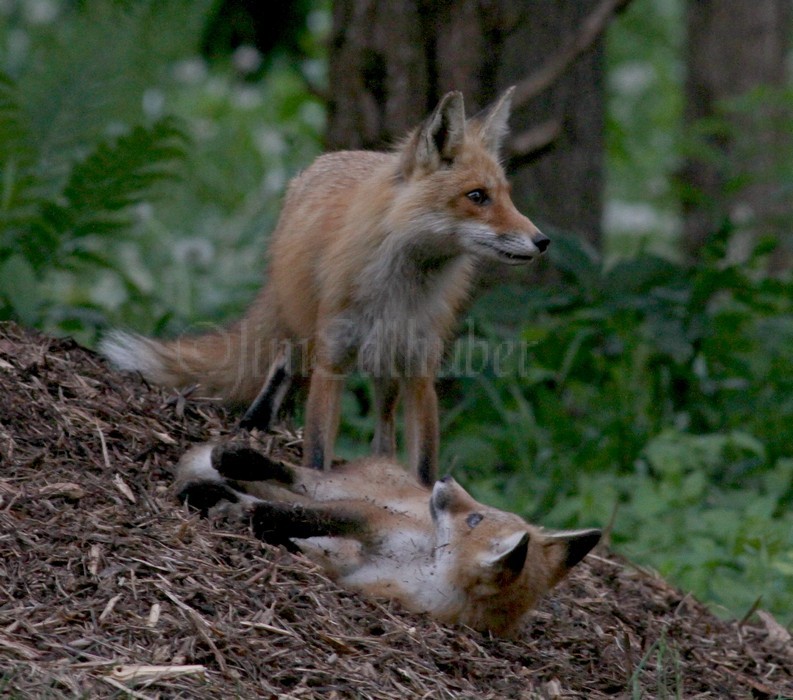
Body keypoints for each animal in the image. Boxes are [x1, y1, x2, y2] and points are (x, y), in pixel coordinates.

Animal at [102, 89, 548, 486]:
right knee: (282, 362)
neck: (399, 292)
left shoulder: (420, 369)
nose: (542, 240)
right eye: (477, 196)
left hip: (384, 366)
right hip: (305, 330)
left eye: (507, 196)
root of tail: (325, 161)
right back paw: (254, 423)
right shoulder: (331, 359)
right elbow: (317, 452)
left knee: (384, 429)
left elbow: (424, 465)